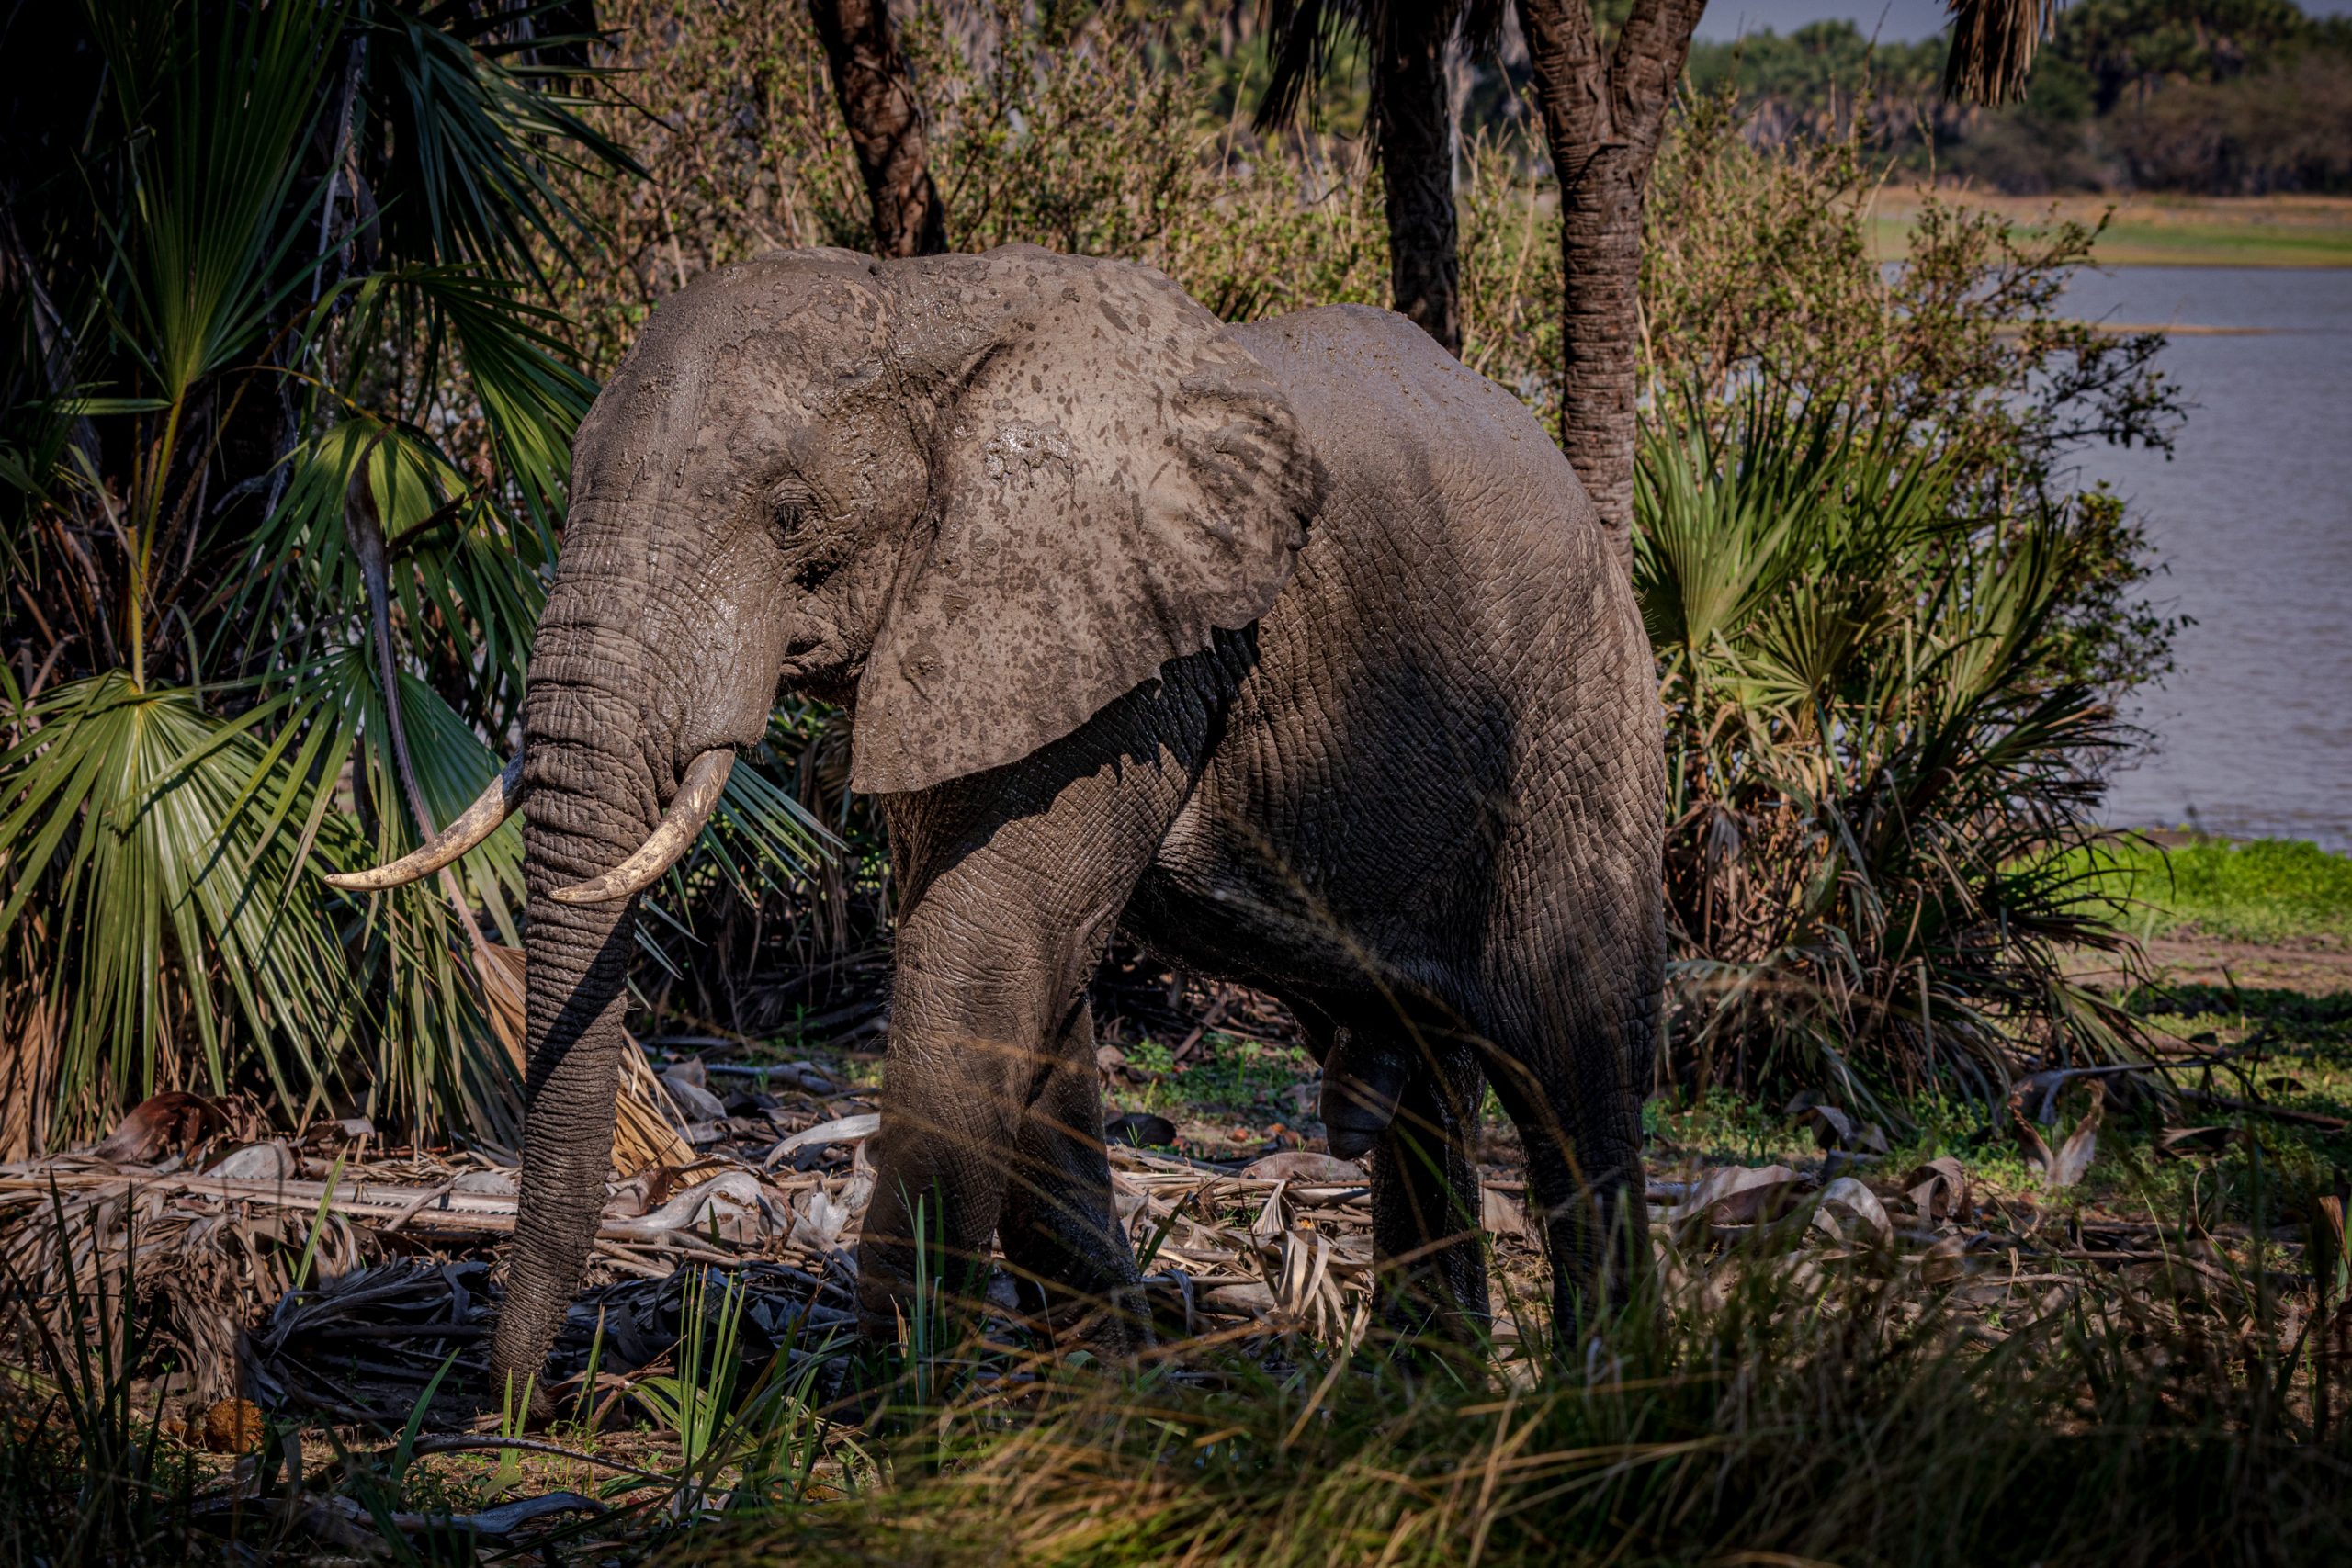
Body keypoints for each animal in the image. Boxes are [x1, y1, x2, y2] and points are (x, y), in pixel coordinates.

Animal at [331, 244, 1664, 1393]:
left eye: (788, 512)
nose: (512, 1400)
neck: (917, 308)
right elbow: (1028, 984)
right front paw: (1105, 1400)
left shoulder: (1123, 647)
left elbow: (984, 949)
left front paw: (894, 1416)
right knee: (1424, 1070)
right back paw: (1419, 1400)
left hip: (1583, 704)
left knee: (1567, 1052)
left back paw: (1604, 1404)